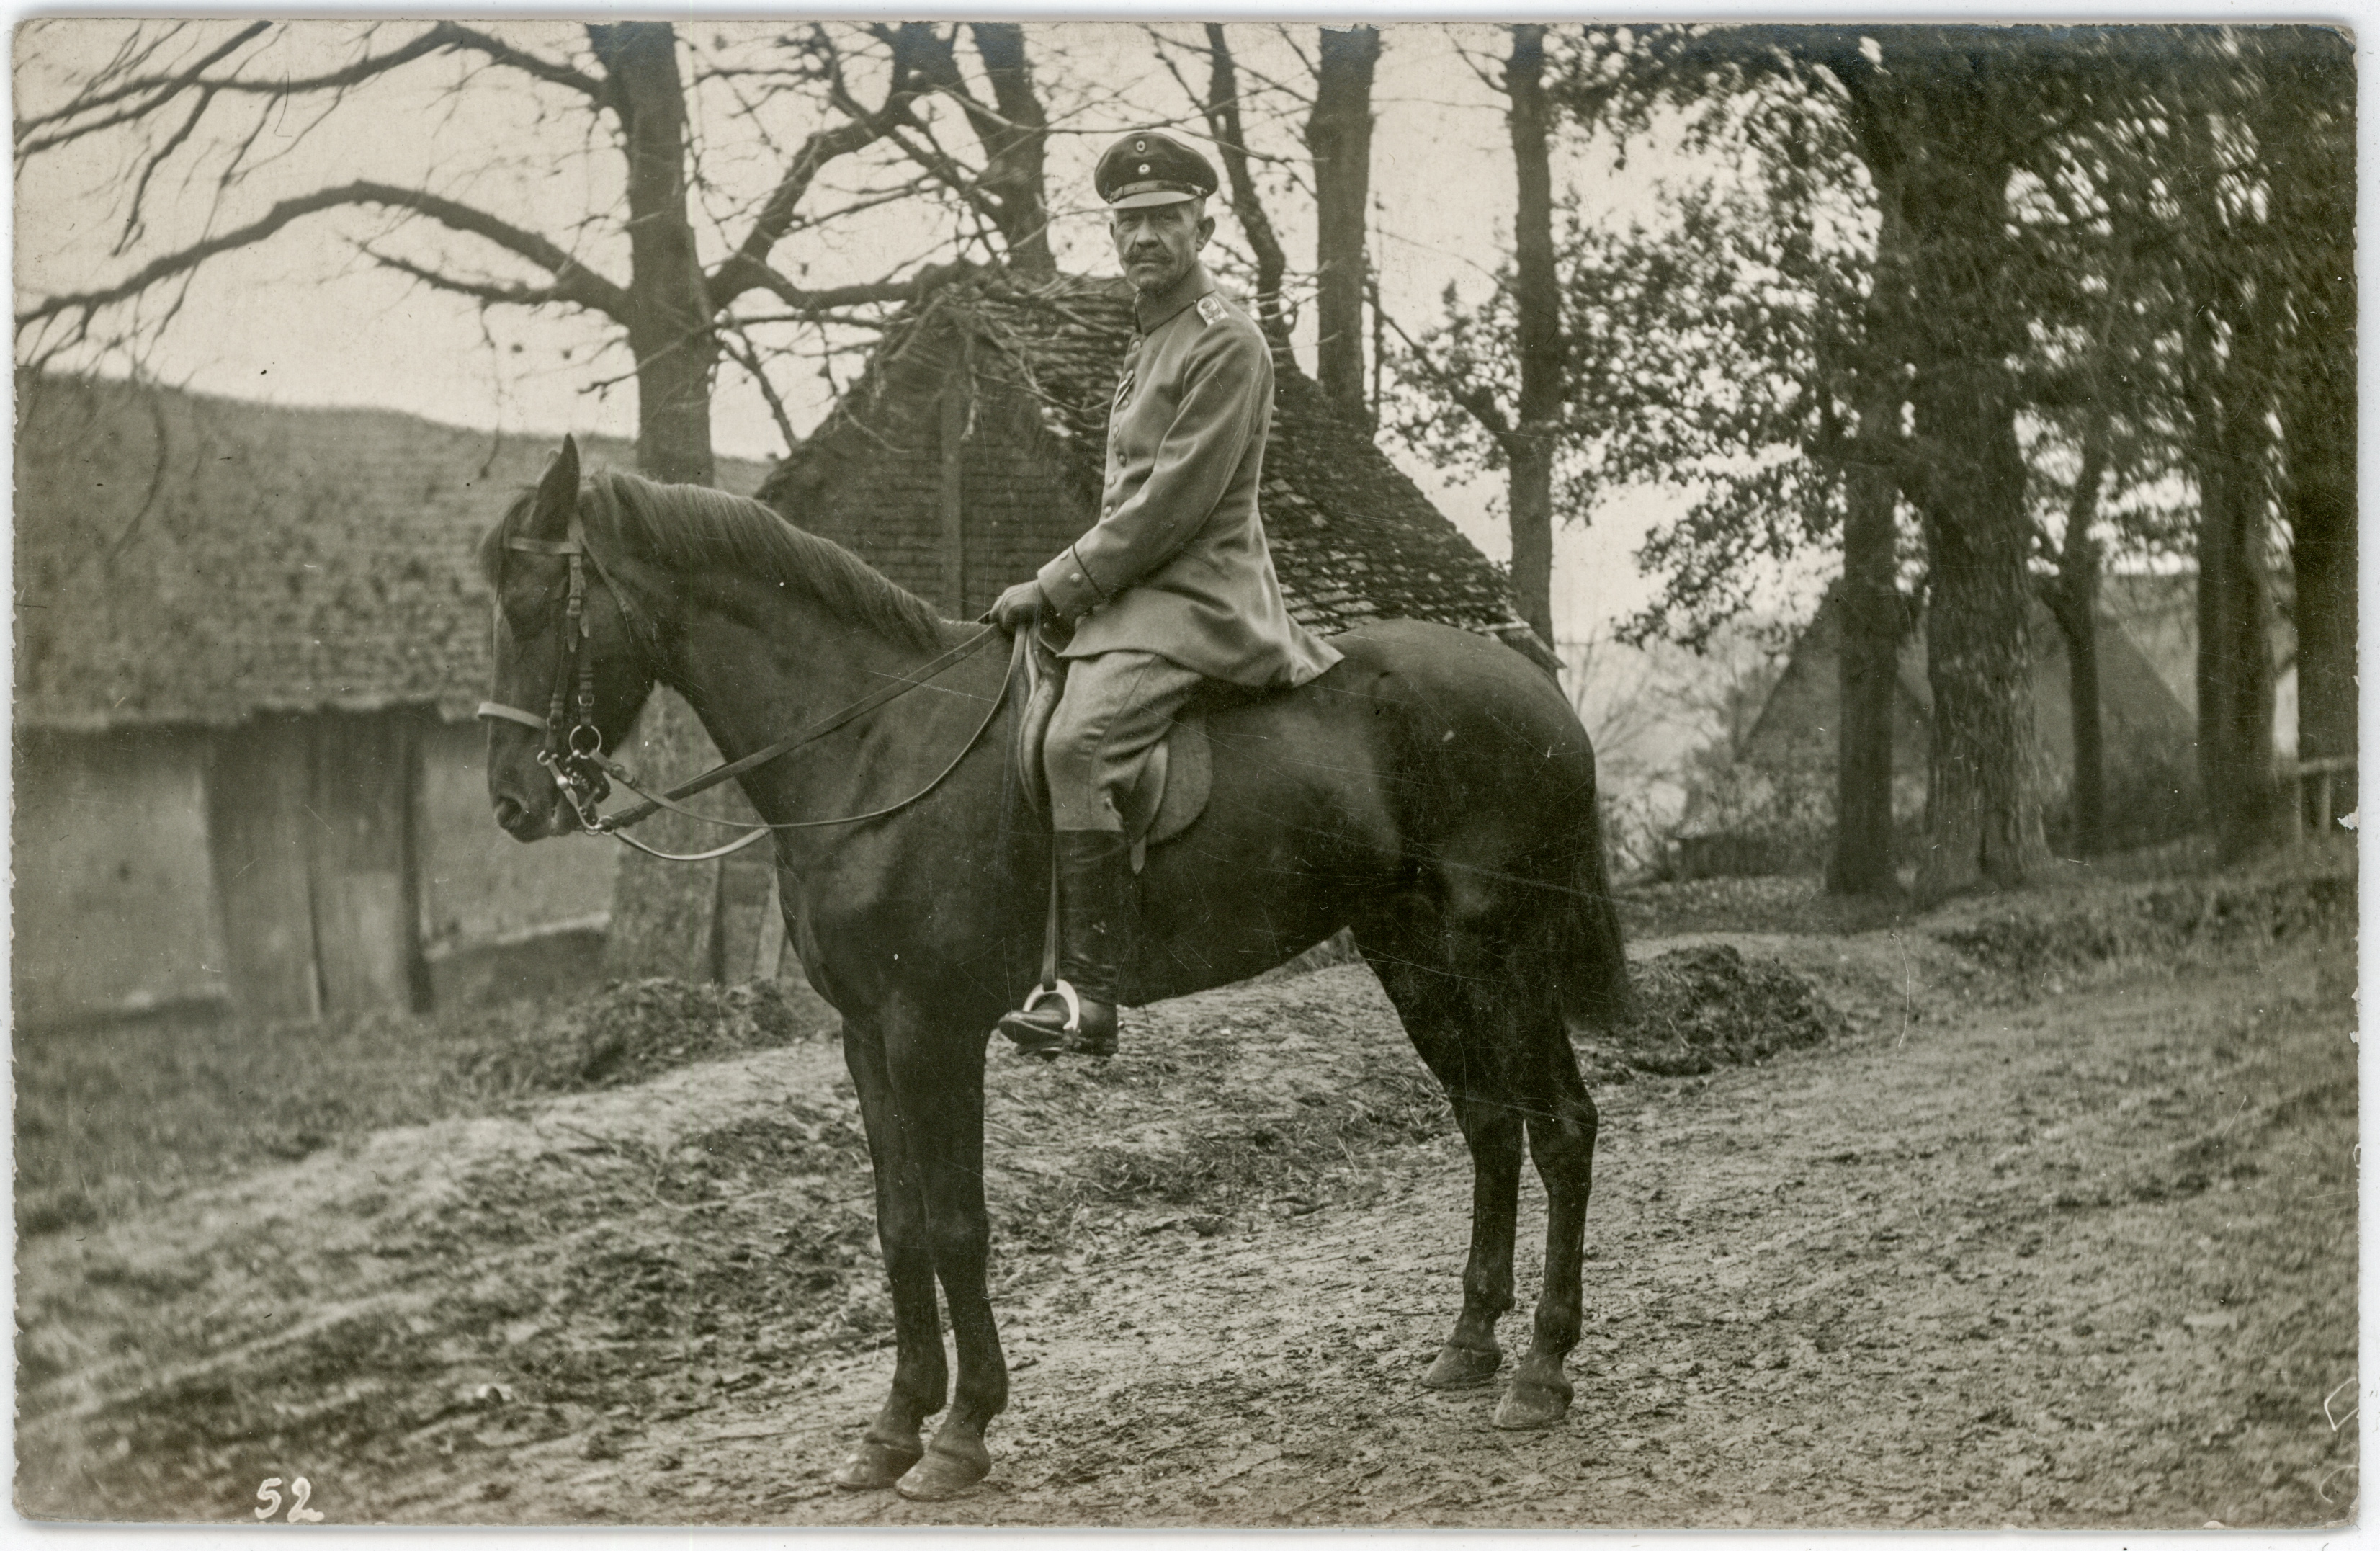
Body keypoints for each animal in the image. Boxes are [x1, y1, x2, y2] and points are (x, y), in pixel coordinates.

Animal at [479, 439, 1635, 1502]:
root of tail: (1534, 689)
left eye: (533, 605)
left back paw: (1539, 1369)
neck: (875, 741)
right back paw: (1469, 1343)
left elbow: (957, 1226)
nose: (512, 805)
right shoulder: (866, 1036)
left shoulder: (932, 1028)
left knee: (1561, 1127)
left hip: (1503, 952)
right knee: (1488, 1123)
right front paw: (892, 1427)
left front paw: (960, 1434)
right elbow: (899, 1229)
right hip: (1411, 951)